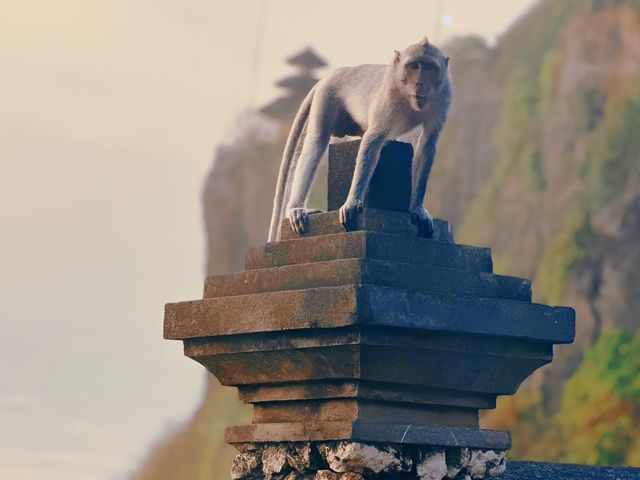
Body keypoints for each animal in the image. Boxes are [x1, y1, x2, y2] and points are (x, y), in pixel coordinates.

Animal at [268, 36, 452, 244]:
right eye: (414, 66)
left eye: (429, 67)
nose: (420, 83)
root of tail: (336, 72)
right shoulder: (387, 97)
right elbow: (374, 139)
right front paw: (352, 202)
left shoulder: (443, 96)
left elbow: (428, 143)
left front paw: (417, 209)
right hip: (326, 96)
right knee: (316, 142)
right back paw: (296, 208)